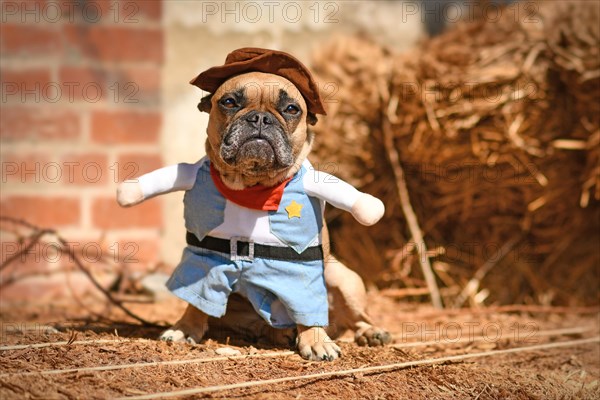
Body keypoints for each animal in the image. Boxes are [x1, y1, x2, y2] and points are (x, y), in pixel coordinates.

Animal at [118, 48, 392, 360]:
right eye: (228, 102)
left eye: (292, 109)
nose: (260, 118)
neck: (252, 185)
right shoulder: (201, 259)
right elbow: (196, 298)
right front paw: (185, 328)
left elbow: (309, 303)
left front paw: (315, 340)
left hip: (343, 278)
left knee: (356, 318)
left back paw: (369, 332)